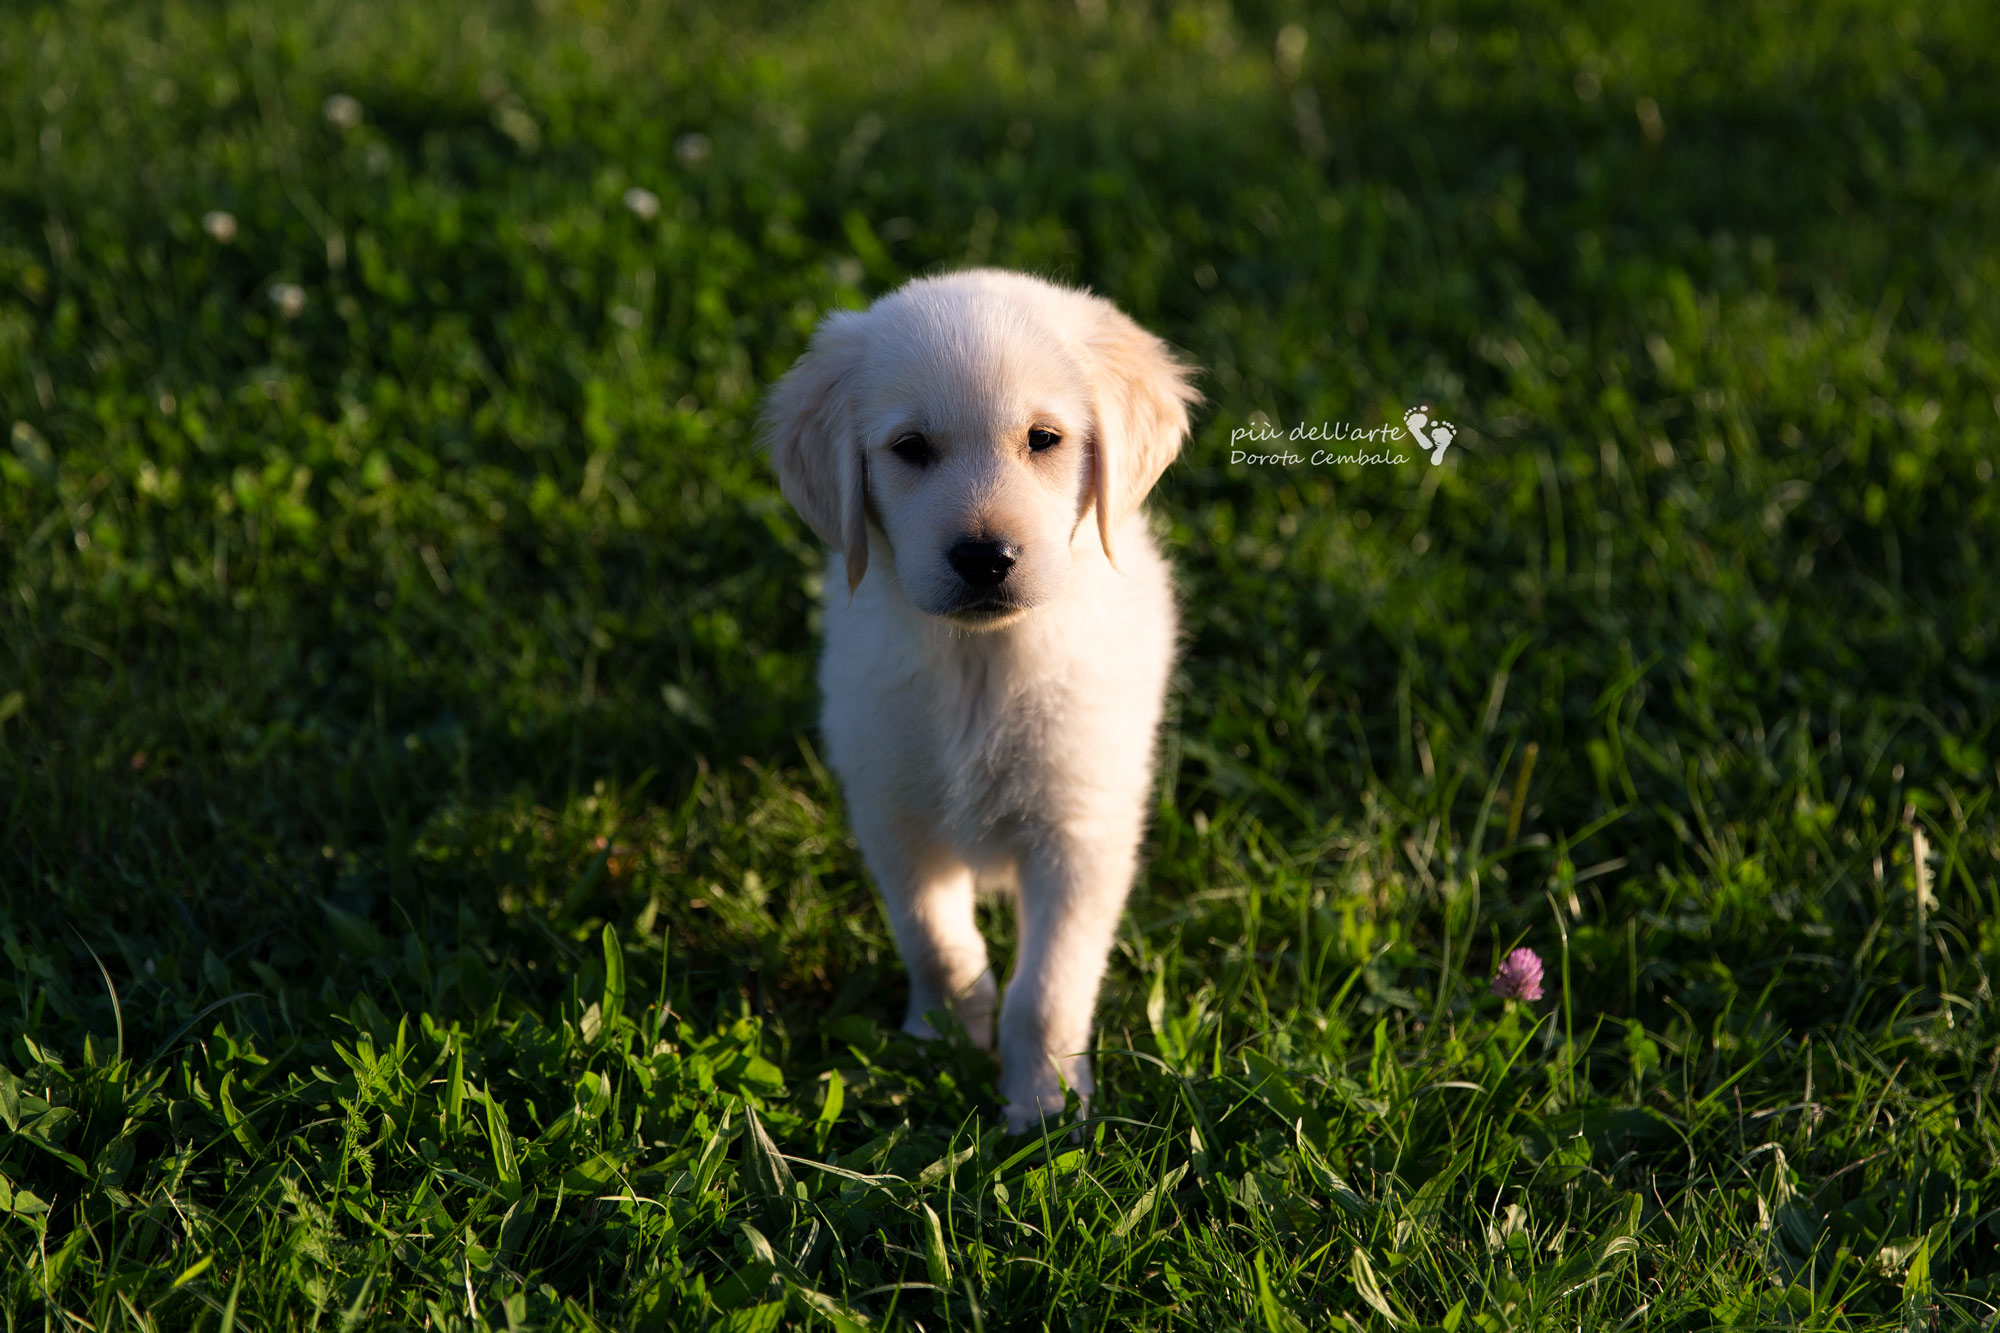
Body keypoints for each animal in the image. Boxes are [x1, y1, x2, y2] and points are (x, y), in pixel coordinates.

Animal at [761, 268, 1198, 1132]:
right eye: (910, 449)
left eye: (1044, 439)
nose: (984, 557)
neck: (981, 664)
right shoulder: (894, 812)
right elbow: (938, 943)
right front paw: (938, 1044)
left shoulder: (1080, 833)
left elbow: (1047, 989)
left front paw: (1044, 1103)